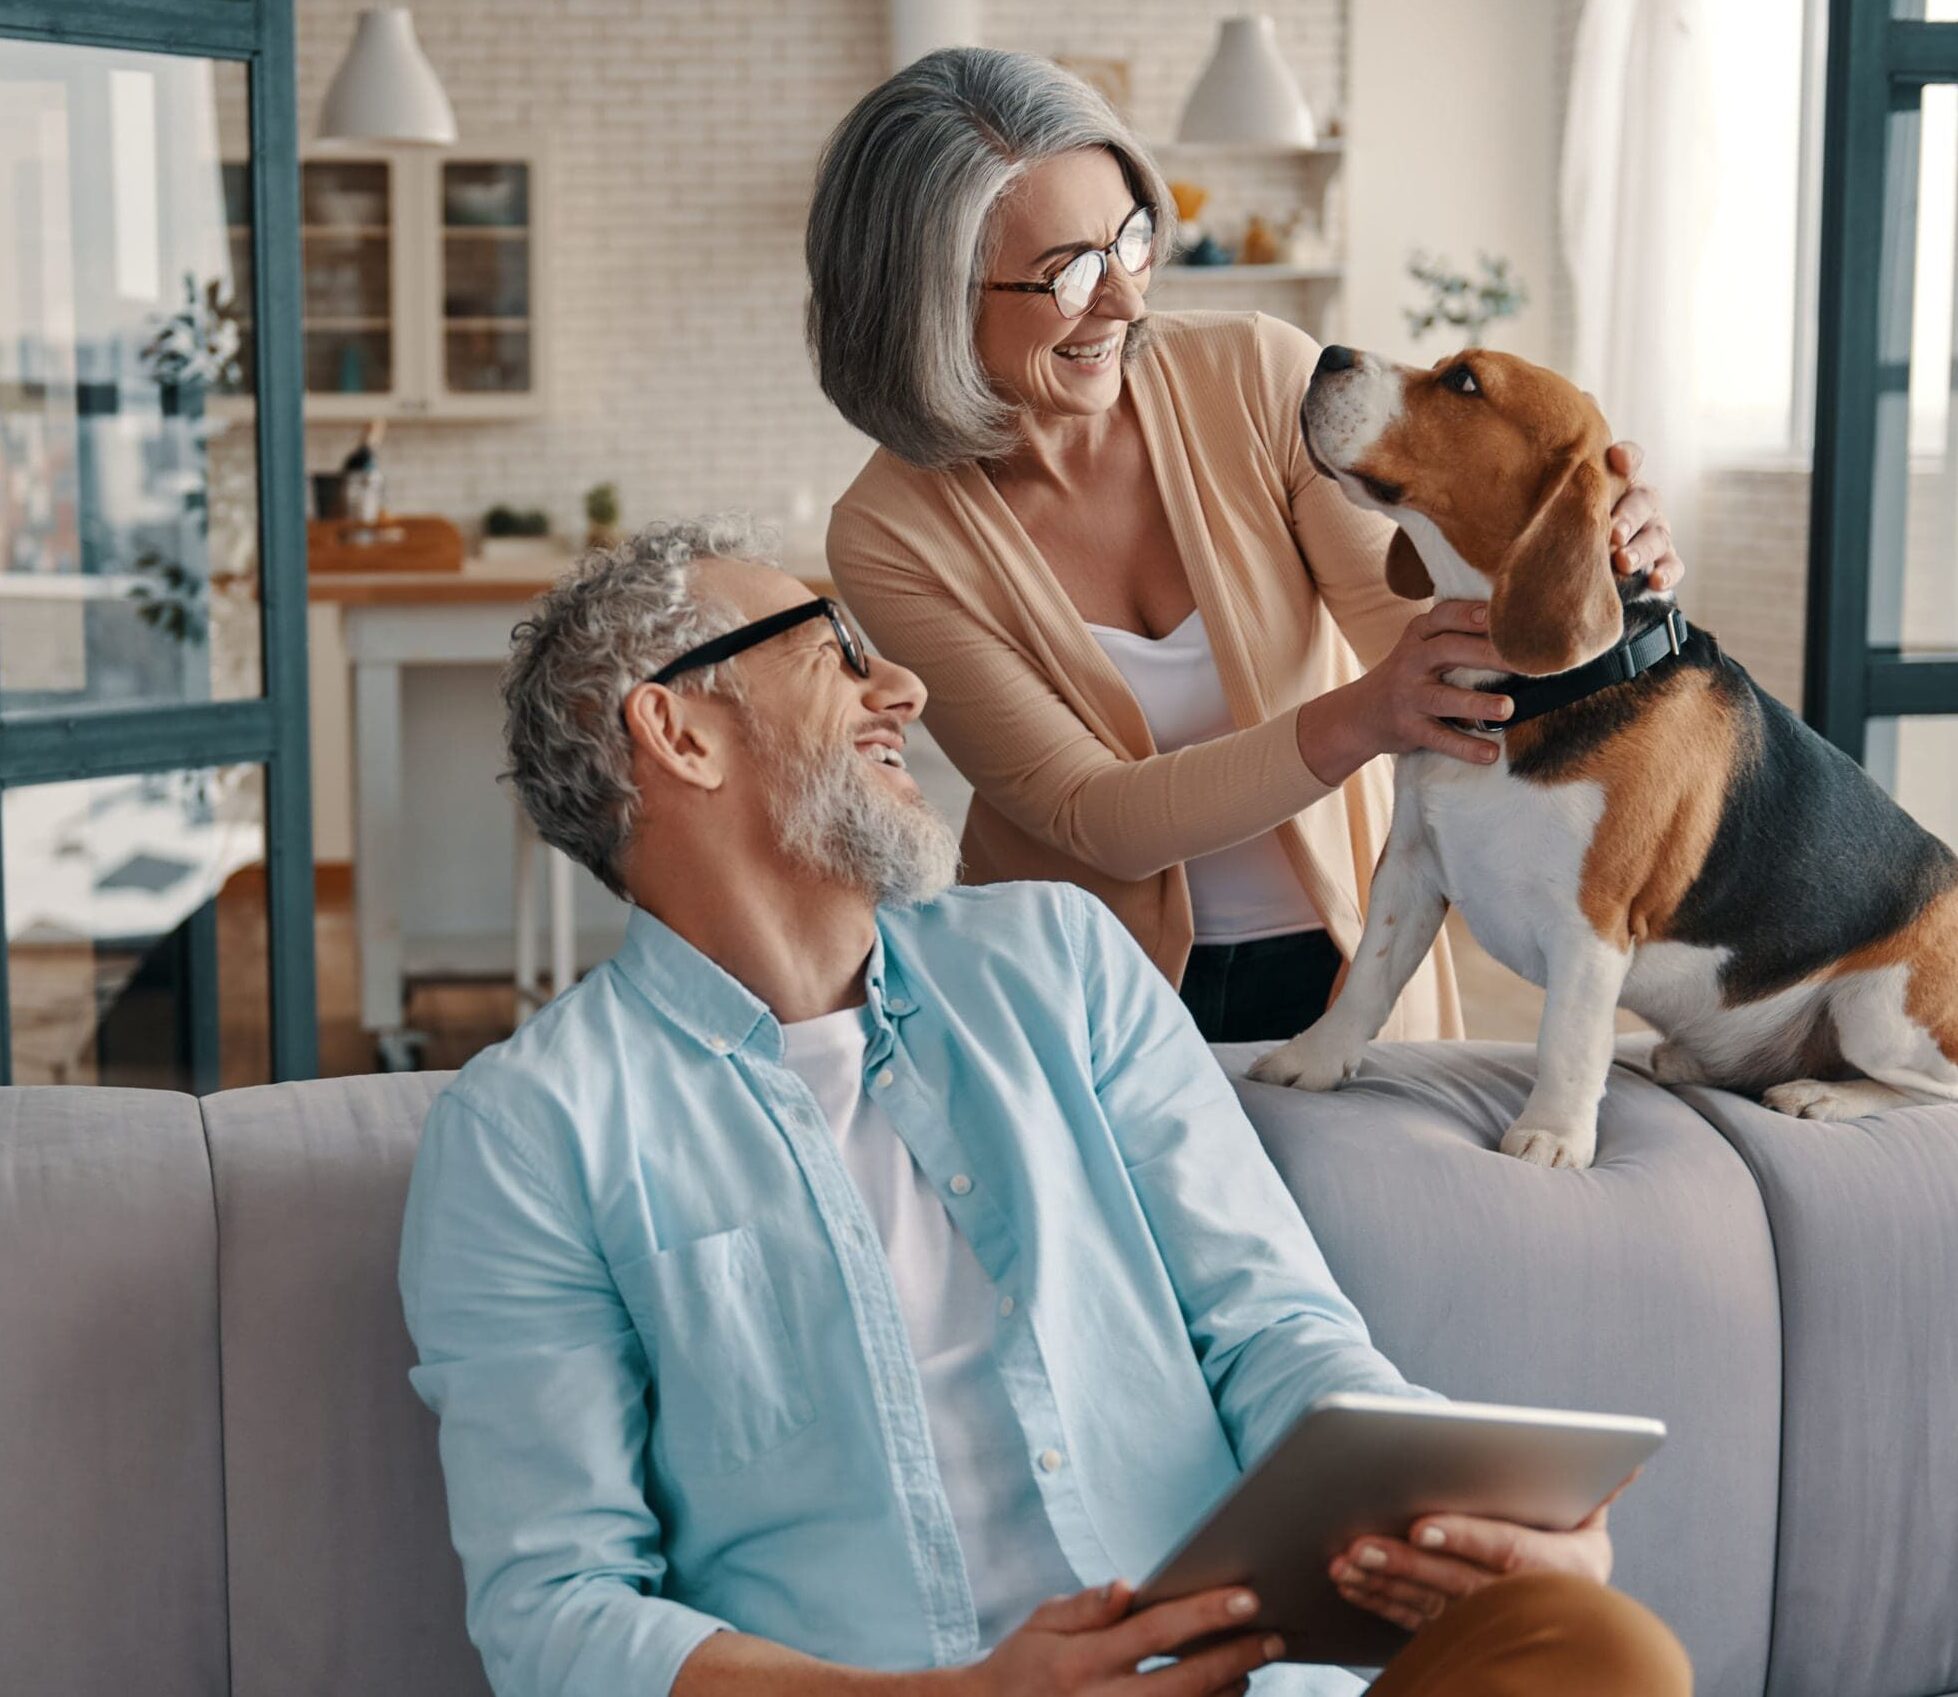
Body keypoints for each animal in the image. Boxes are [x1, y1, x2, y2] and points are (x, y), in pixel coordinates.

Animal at [1253, 342, 1958, 1166]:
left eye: (1464, 381)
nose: (1329, 354)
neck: (1527, 695)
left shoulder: (1593, 923)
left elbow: (1567, 1037)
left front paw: (1552, 1135)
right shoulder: (1410, 866)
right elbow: (1370, 975)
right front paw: (1312, 1060)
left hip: (1879, 1011)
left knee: (1928, 1088)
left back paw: (1822, 1093)